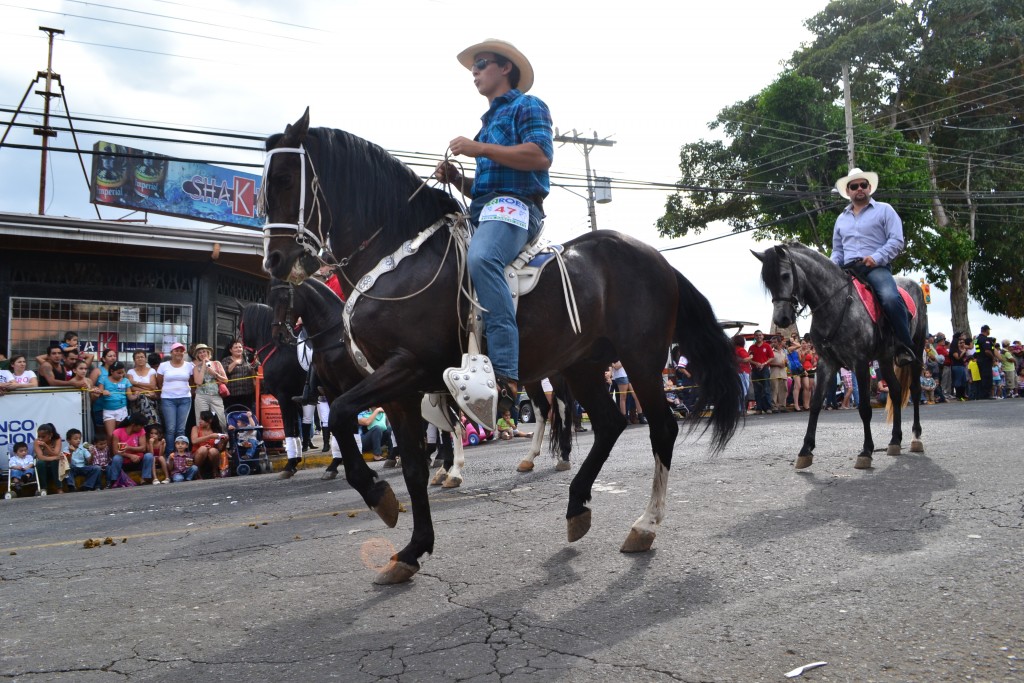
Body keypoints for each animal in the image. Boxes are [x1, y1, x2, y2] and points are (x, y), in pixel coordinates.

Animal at [256, 109, 741, 585]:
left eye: (283, 178)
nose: (274, 261)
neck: (397, 259)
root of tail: (657, 260)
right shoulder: (397, 390)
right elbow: (411, 465)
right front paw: (411, 549)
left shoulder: (407, 368)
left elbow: (342, 416)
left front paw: (379, 495)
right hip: (582, 365)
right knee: (608, 424)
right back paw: (576, 506)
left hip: (640, 358)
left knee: (660, 428)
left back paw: (644, 524)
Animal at [753, 240, 929, 471]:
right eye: (767, 282)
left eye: (784, 275)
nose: (781, 319)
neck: (836, 305)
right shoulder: (826, 363)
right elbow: (816, 403)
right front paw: (805, 450)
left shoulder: (860, 363)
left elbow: (864, 407)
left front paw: (866, 451)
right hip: (884, 358)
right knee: (896, 390)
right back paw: (895, 441)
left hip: (916, 350)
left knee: (915, 391)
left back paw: (916, 437)